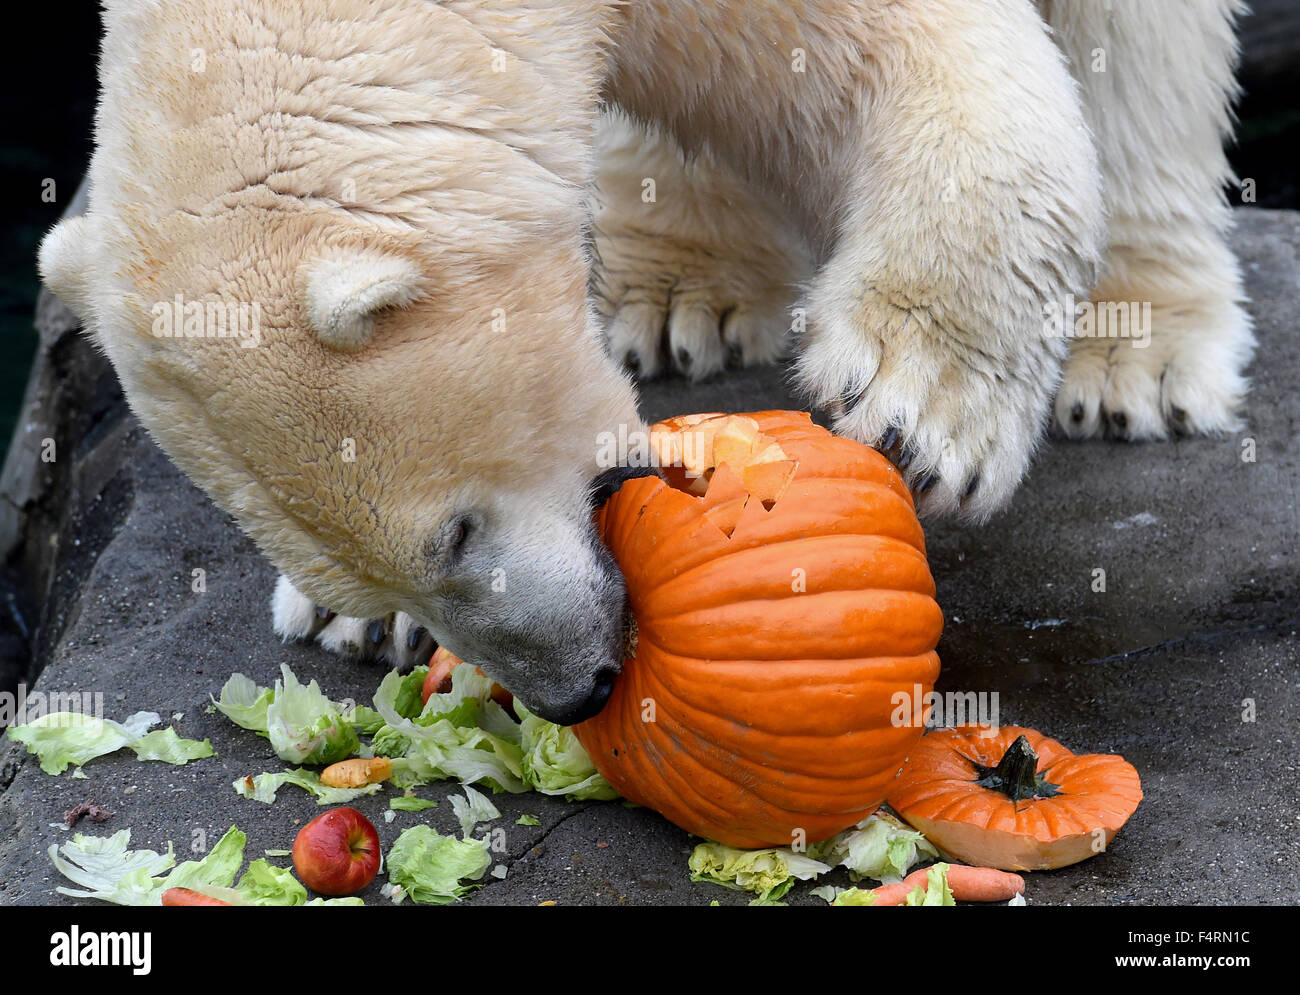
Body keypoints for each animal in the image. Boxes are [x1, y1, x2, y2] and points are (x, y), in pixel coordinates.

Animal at [39, 0, 1252, 721]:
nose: (576, 692)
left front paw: (915, 409)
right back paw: (677, 288)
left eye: (456, 531)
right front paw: (356, 623)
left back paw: (1138, 346)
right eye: (391, 566)